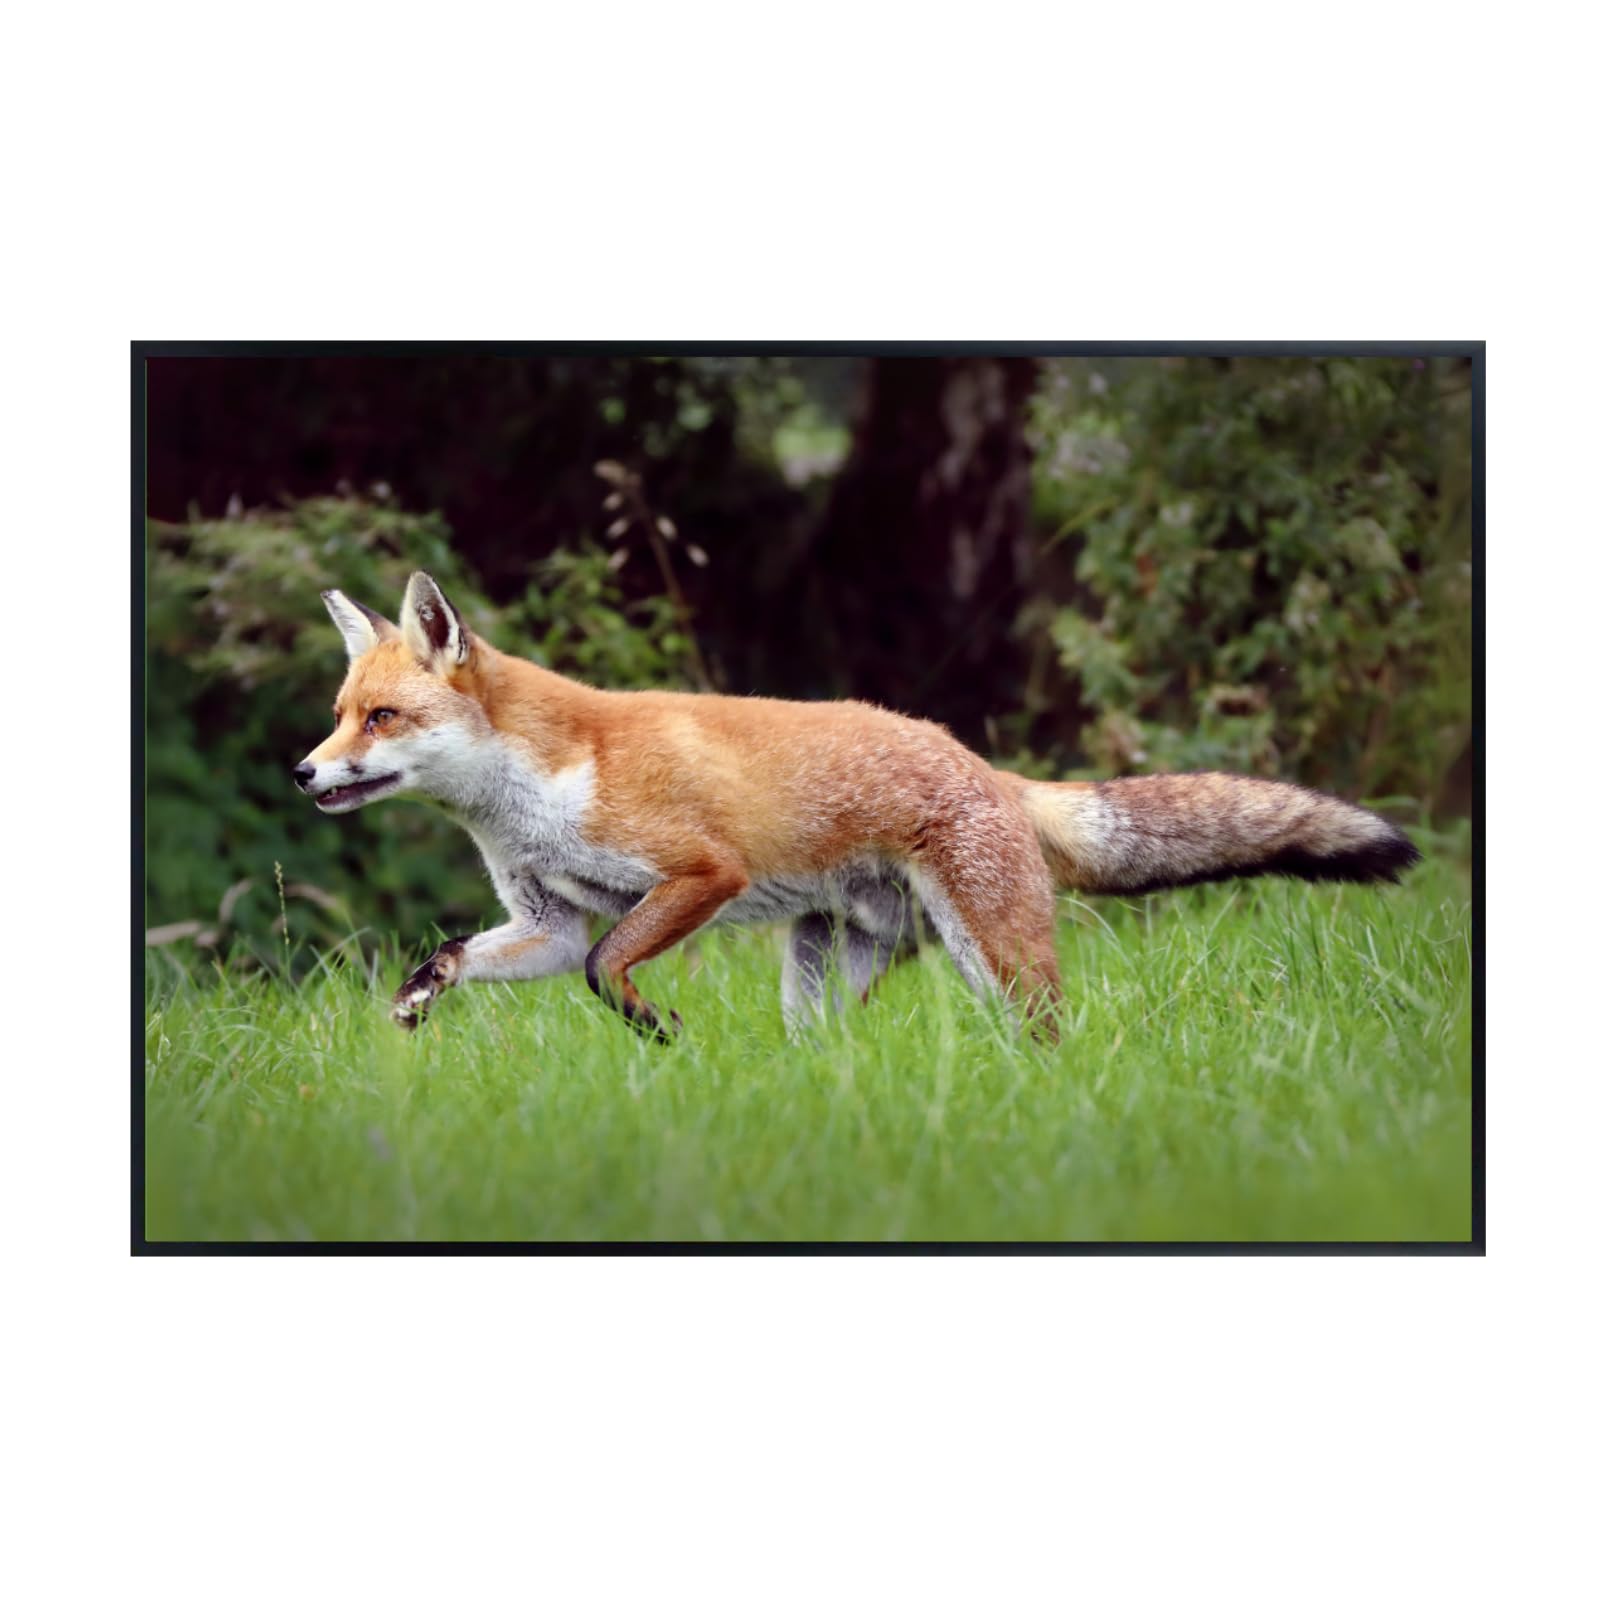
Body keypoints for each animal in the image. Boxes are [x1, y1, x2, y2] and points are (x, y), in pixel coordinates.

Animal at [295, 571, 1420, 1042]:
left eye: (383, 718)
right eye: (340, 715)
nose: (305, 773)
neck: (537, 792)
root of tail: (988, 768)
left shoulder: (701, 872)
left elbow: (606, 969)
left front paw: (657, 1030)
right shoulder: (547, 916)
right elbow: (463, 953)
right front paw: (416, 998)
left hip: (997, 959)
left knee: (1051, 1038)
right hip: (825, 965)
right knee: (824, 1054)